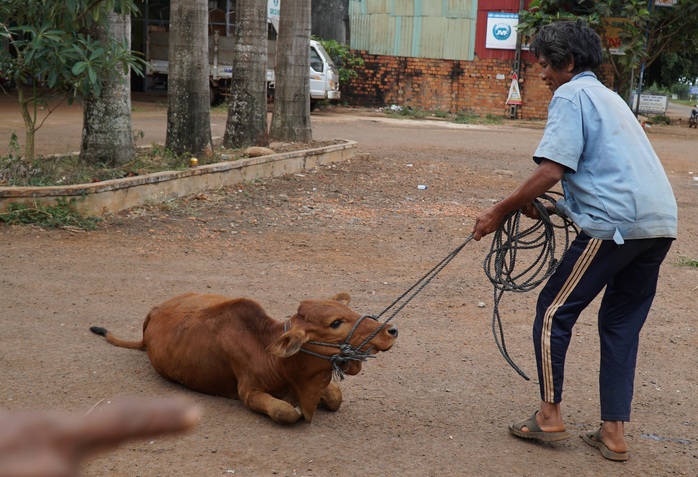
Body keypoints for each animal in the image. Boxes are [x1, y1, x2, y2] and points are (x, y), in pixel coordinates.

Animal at [89, 292, 396, 422]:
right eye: (335, 323)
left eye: (349, 311)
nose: (390, 330)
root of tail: (153, 311)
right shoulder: (248, 392)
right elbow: (285, 412)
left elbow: (335, 397)